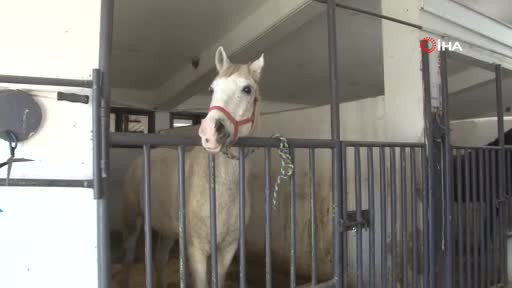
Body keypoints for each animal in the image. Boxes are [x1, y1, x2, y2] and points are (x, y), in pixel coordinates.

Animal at [120, 46, 264, 286]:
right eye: (212, 88)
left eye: (247, 89)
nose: (209, 131)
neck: (221, 190)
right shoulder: (197, 248)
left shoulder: (228, 248)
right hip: (133, 221)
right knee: (129, 255)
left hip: (168, 230)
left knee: (160, 257)